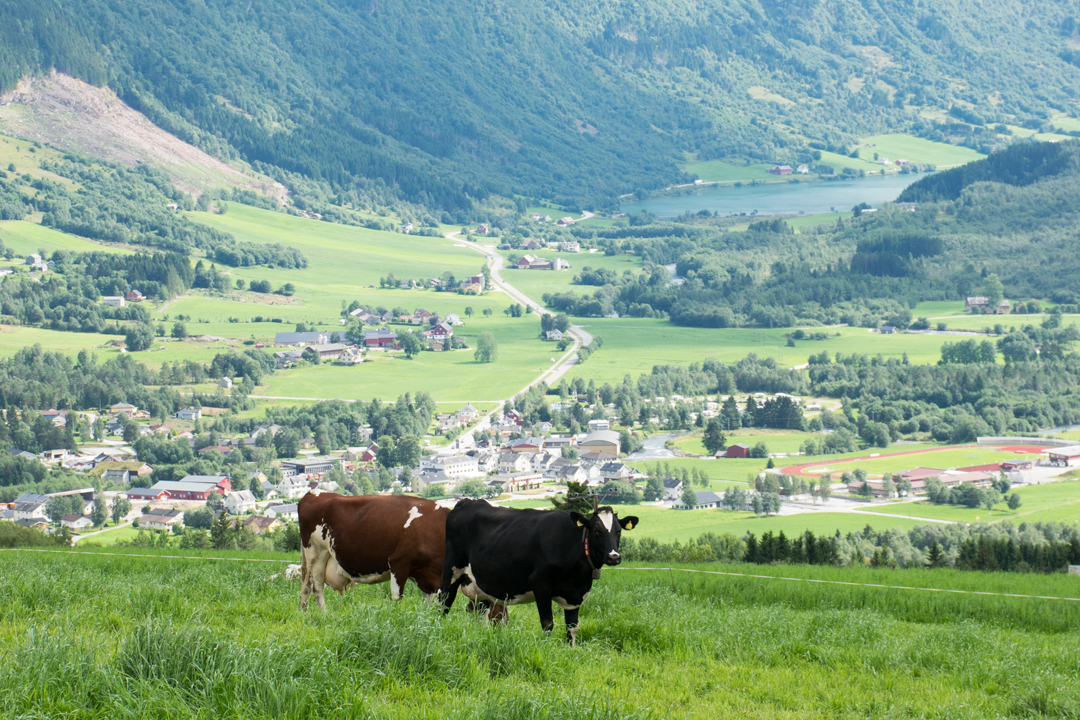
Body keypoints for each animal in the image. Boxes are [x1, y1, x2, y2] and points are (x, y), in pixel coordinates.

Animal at [298, 493, 449, 610]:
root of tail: (312, 494)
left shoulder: (426, 575)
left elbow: (428, 601)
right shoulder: (399, 564)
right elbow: (396, 598)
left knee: (306, 586)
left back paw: (304, 612)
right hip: (316, 552)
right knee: (317, 587)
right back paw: (324, 614)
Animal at [440, 500, 638, 644]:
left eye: (618, 531)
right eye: (596, 531)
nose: (614, 557)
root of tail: (466, 502)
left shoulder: (575, 595)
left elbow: (572, 627)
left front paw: (571, 651)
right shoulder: (540, 584)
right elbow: (547, 623)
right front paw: (547, 650)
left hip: (482, 585)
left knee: (478, 613)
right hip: (451, 571)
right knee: (443, 603)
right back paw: (437, 630)